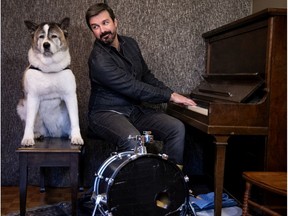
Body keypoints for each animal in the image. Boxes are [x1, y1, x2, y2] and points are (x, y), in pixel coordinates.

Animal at [17, 16, 83, 145]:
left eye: (54, 36)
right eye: (41, 37)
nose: (46, 45)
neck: (49, 68)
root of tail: (53, 134)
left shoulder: (70, 96)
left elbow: (75, 120)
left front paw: (76, 137)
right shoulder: (32, 97)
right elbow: (29, 122)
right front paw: (27, 138)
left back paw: (69, 134)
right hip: (21, 107)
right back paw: (36, 134)